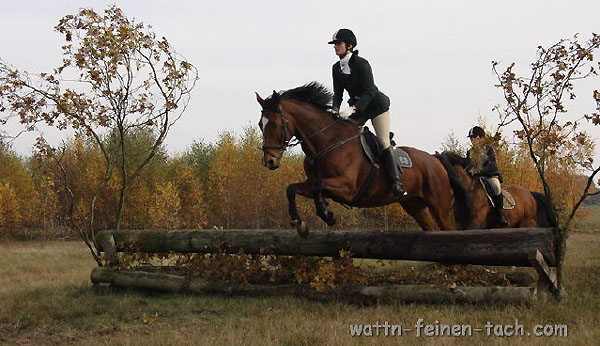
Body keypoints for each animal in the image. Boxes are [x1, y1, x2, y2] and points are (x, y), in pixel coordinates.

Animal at [255, 82, 472, 237]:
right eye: (260, 124)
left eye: (274, 124)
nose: (269, 162)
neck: (325, 143)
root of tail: (434, 159)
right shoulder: (311, 184)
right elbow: (292, 189)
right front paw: (300, 225)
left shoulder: (347, 187)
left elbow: (318, 186)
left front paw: (326, 213)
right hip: (414, 205)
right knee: (432, 230)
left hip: (439, 205)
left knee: (447, 230)